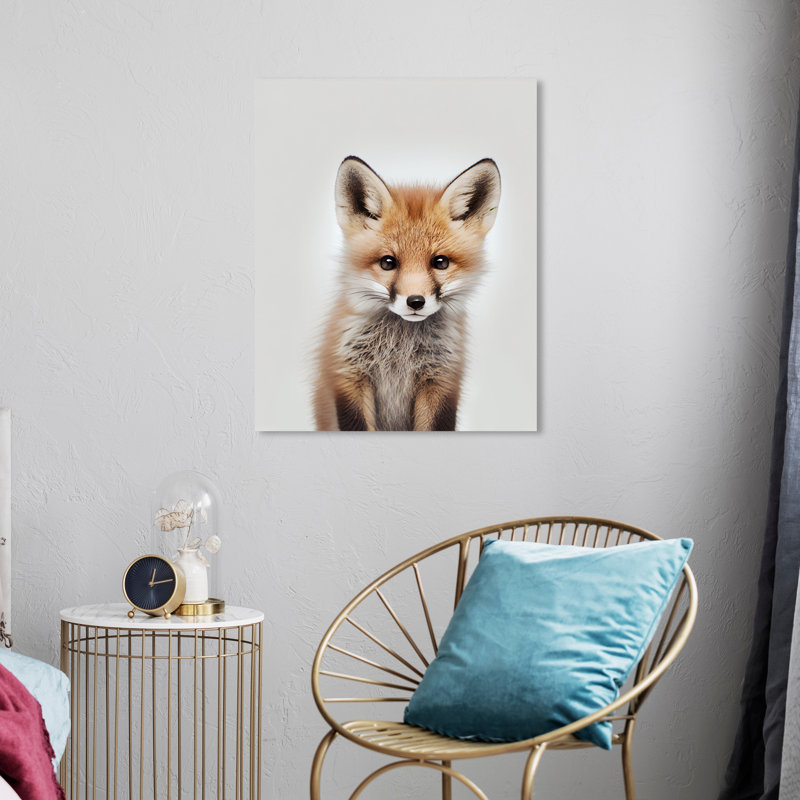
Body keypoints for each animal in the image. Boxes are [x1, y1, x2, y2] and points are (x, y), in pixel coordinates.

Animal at [313, 155, 501, 431]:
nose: (415, 302)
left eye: (440, 262)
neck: (399, 348)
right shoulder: (348, 375)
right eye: (388, 263)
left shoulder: (441, 379)